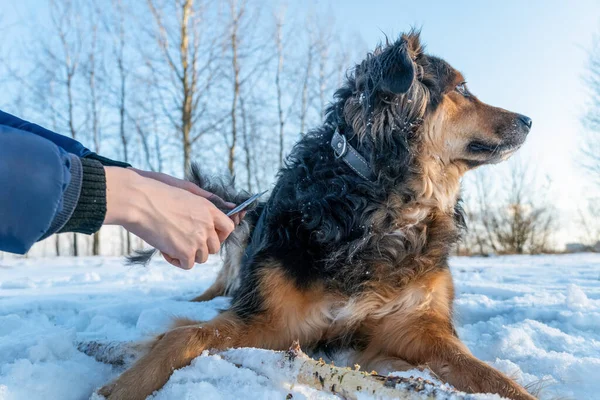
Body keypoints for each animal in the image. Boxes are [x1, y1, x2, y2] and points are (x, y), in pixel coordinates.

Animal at [98, 32, 536, 400]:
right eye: (461, 88)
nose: (529, 120)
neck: (383, 206)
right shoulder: (268, 320)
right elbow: (182, 337)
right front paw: (118, 388)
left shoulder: (417, 326)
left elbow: (493, 378)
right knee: (215, 290)